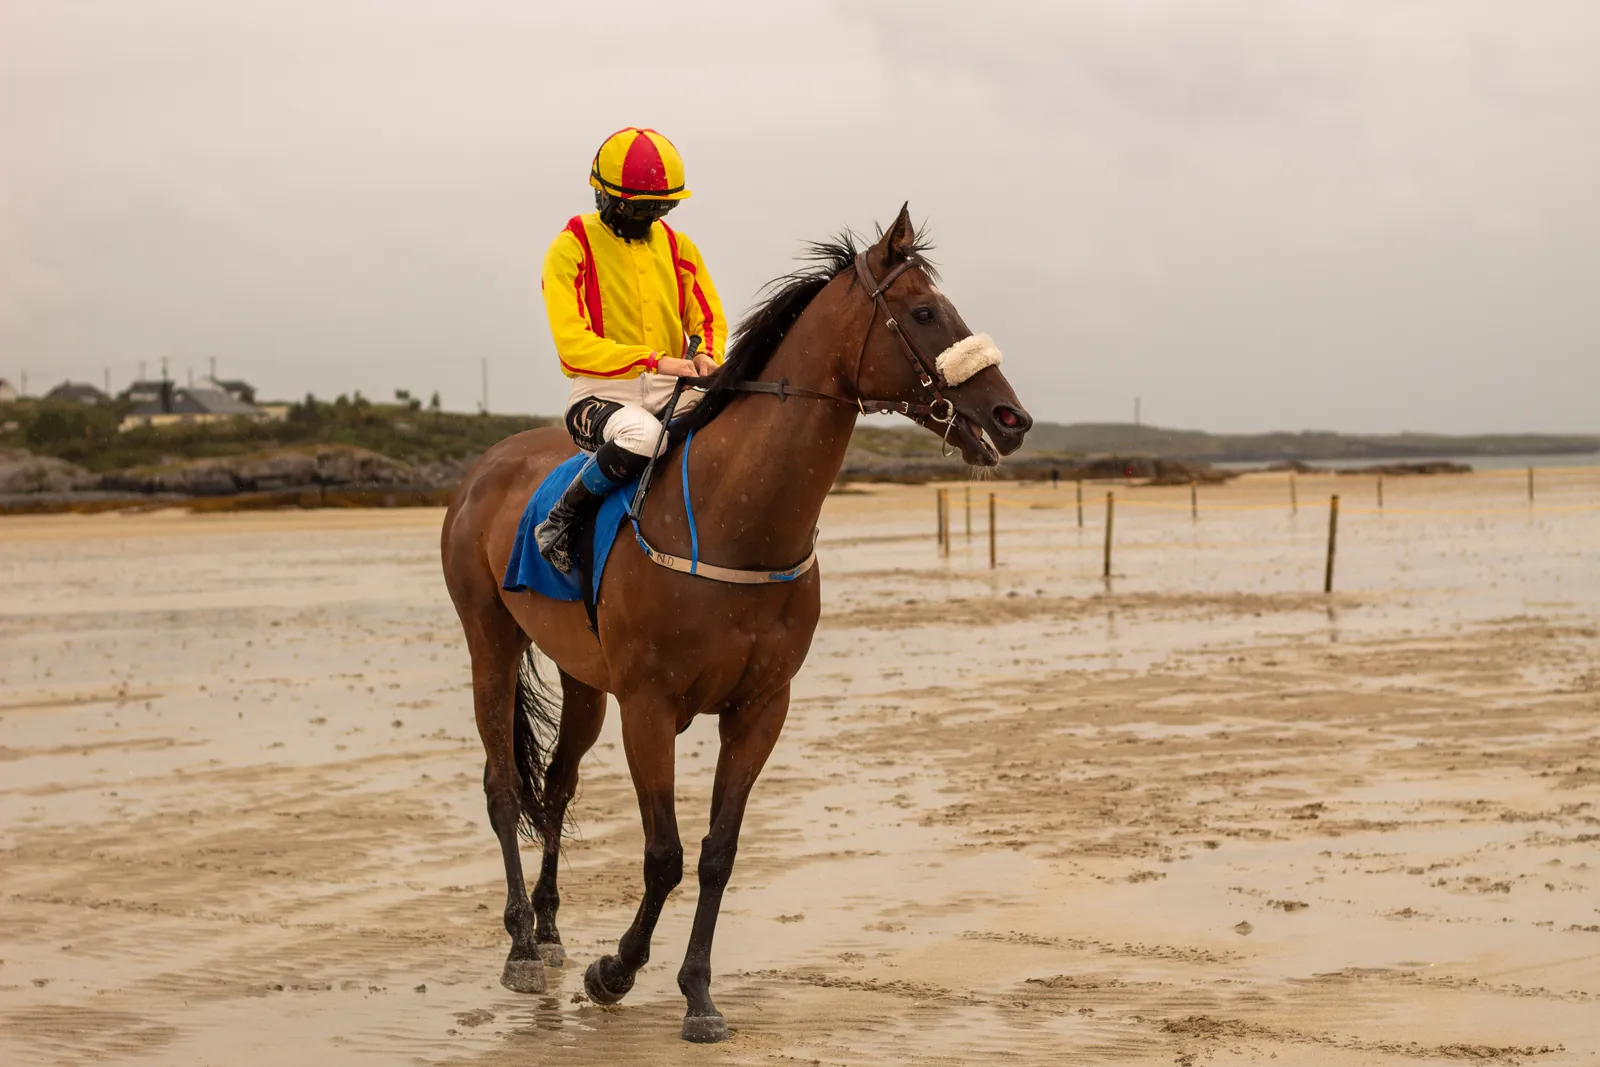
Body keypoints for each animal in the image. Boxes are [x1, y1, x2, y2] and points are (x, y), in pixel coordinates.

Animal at [440, 204, 1032, 1042]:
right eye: (924, 311)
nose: (1012, 418)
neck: (734, 520)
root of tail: (484, 470)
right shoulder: (649, 706)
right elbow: (663, 853)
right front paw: (615, 970)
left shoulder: (759, 707)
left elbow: (719, 848)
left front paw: (697, 993)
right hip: (489, 640)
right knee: (500, 786)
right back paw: (523, 943)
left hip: (583, 678)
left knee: (554, 789)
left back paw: (551, 931)